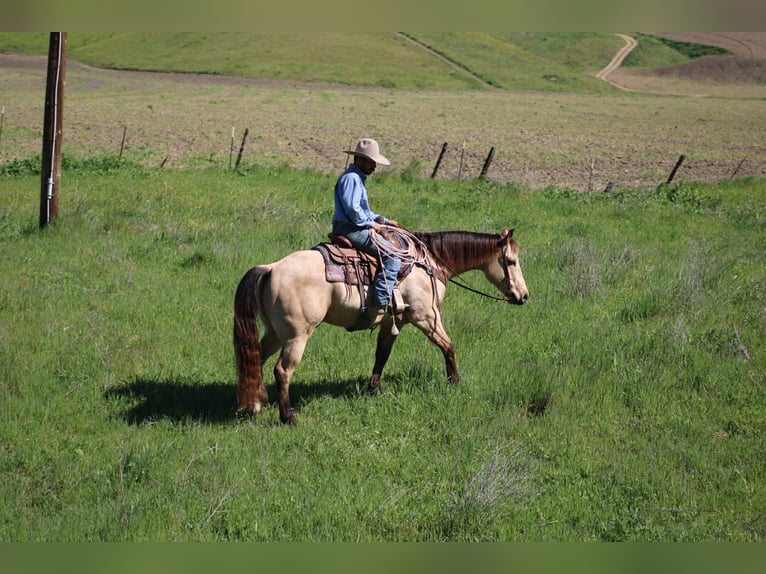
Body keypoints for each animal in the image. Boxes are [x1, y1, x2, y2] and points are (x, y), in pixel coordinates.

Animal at [233, 227, 529, 425]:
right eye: (510, 261)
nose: (524, 296)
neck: (426, 264)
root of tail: (271, 268)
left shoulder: (393, 321)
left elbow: (382, 355)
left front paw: (373, 389)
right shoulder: (426, 316)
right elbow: (448, 346)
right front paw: (454, 382)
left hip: (274, 333)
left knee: (256, 359)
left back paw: (256, 403)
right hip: (297, 336)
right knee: (282, 371)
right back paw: (288, 417)